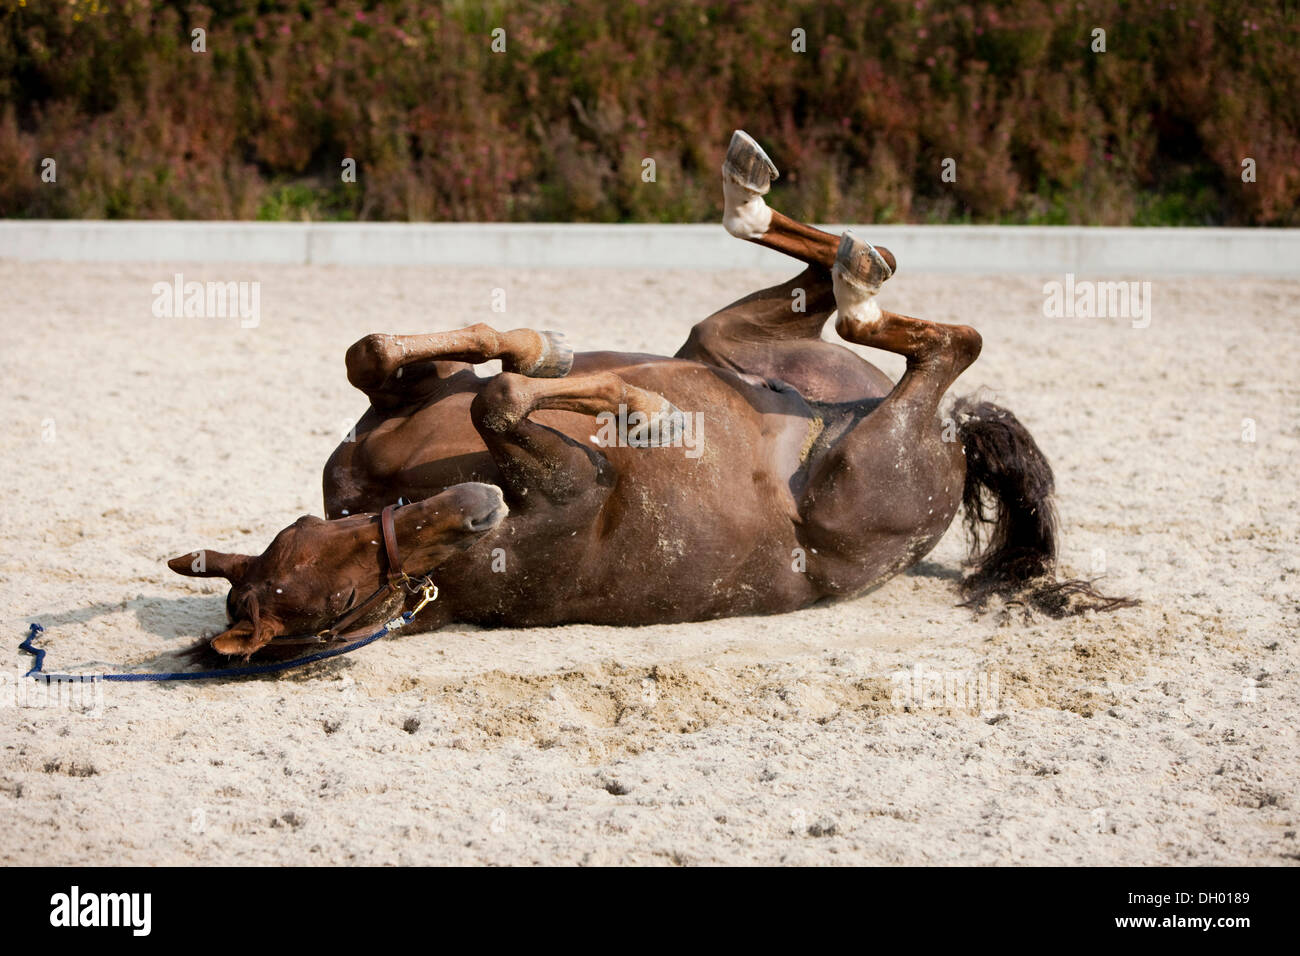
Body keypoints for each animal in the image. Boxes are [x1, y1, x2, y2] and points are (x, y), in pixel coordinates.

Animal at [170, 132, 1118, 658]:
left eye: (321, 543)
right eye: (333, 609)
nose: (475, 510)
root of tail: (957, 441)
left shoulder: (410, 403)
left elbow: (405, 358)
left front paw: (550, 351)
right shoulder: (566, 481)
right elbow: (498, 399)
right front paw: (641, 408)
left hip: (730, 346)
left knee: (856, 287)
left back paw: (781, 211)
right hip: (856, 468)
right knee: (945, 342)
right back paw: (846, 276)